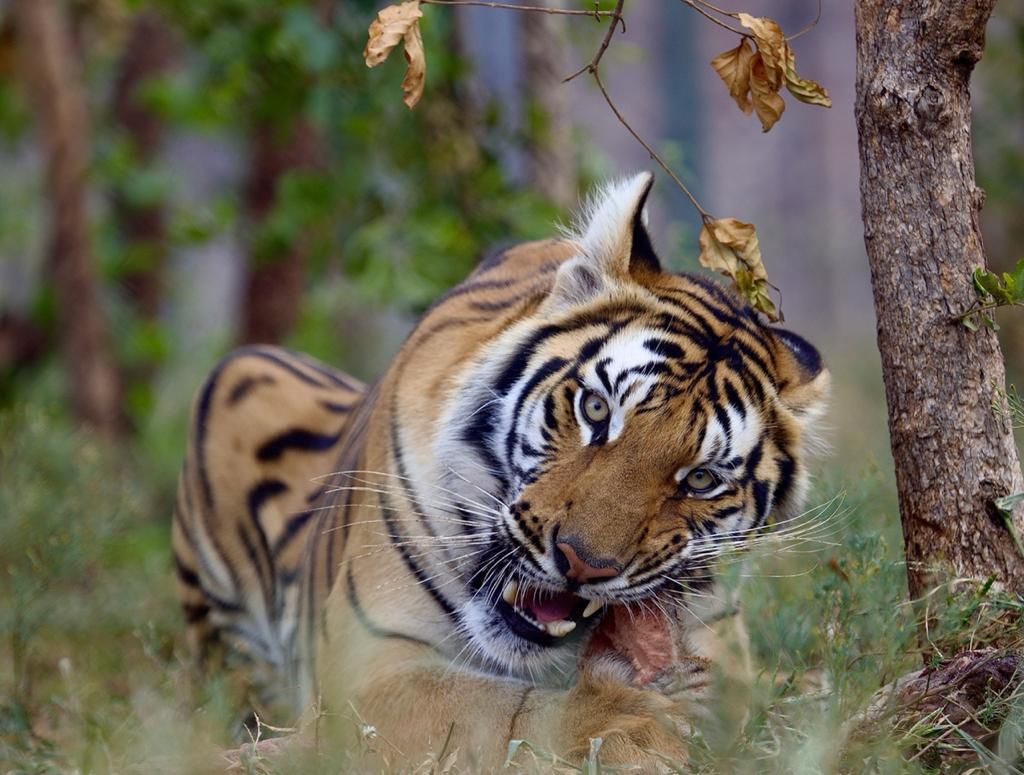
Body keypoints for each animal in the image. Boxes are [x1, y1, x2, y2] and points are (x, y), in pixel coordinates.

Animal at [172, 170, 827, 769]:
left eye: (699, 480)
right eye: (596, 410)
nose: (582, 564)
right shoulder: (372, 661)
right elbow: (494, 713)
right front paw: (629, 727)